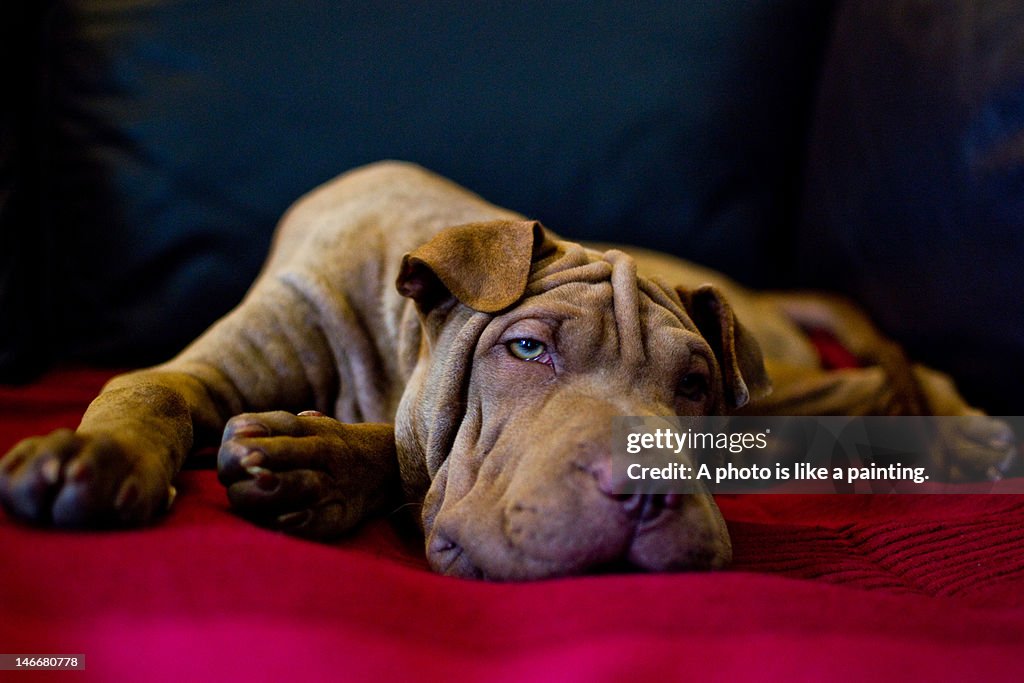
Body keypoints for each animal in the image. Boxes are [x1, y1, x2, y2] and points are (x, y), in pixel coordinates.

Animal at [0, 162, 1011, 581]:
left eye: (692, 387)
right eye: (526, 349)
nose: (649, 488)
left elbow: (398, 448)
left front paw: (316, 462)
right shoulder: (234, 352)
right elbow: (149, 386)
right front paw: (95, 460)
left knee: (889, 377)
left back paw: (966, 432)